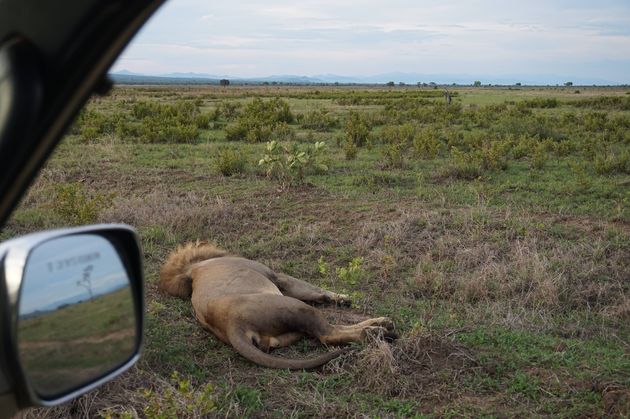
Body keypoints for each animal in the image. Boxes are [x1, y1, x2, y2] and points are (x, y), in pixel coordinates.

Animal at [159, 241, 396, 370]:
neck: (195, 268)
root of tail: (232, 324)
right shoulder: (277, 276)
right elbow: (315, 289)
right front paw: (342, 297)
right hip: (296, 306)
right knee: (328, 333)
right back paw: (380, 330)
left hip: (284, 334)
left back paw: (382, 325)